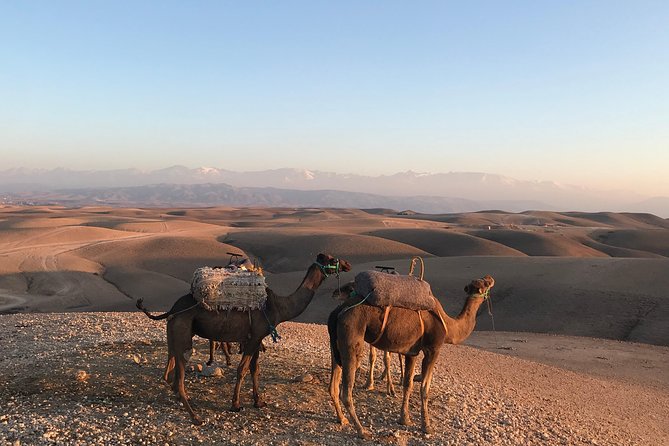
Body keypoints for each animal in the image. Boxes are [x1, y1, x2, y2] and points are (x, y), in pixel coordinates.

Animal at [138, 253, 351, 425]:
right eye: (332, 259)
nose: (347, 264)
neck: (279, 307)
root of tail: (172, 310)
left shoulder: (255, 338)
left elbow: (255, 369)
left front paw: (259, 401)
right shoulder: (254, 337)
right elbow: (242, 369)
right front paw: (236, 404)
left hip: (175, 333)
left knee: (170, 371)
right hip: (183, 332)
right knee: (180, 374)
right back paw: (195, 417)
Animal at [328, 275, 495, 439]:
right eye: (485, 284)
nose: (490, 278)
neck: (449, 326)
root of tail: (338, 311)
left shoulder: (411, 352)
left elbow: (408, 384)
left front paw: (405, 419)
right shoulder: (433, 349)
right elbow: (424, 388)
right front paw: (426, 426)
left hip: (336, 344)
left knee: (333, 385)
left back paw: (342, 419)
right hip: (351, 336)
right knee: (346, 391)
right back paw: (362, 431)